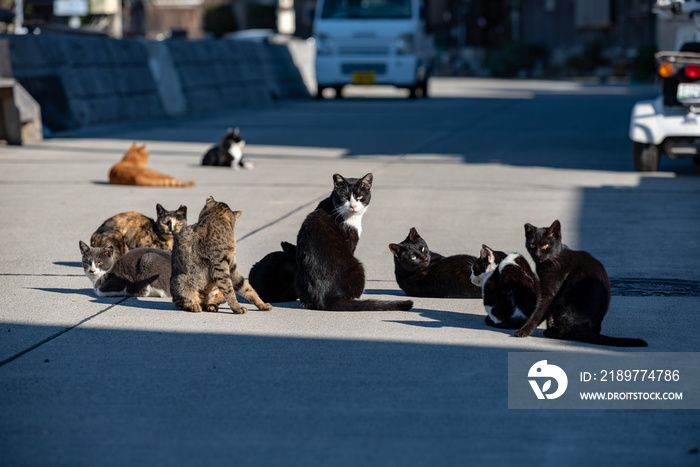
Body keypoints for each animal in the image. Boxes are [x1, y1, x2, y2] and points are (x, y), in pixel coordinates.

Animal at [512, 220, 648, 348]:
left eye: (545, 245)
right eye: (532, 245)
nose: (537, 254)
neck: (554, 258)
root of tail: (584, 325)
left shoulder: (549, 293)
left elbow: (538, 312)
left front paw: (524, 330)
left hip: (560, 304)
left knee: (565, 332)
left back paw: (549, 332)